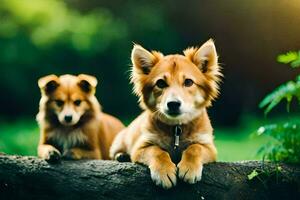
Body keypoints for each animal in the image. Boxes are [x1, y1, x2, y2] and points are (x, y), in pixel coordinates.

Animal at [109, 39, 221, 188]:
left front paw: (190, 167)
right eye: (160, 83)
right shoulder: (140, 147)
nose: (173, 104)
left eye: (188, 82)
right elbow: (157, 151)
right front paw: (164, 171)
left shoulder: (209, 146)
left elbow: (195, 148)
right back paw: (122, 156)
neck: (176, 129)